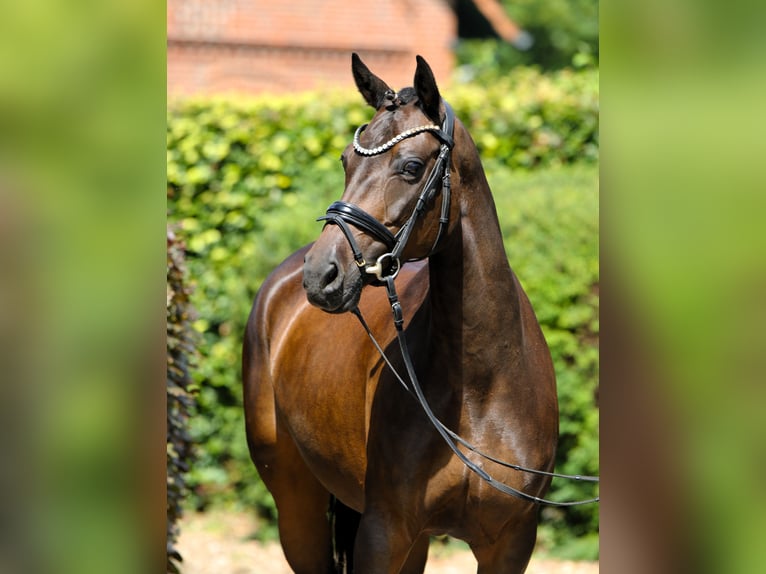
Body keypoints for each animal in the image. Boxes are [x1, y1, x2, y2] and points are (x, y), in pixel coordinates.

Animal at [243, 53, 560, 572]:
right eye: (345, 160)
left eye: (411, 166)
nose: (321, 275)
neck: (480, 389)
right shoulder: (384, 532)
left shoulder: (511, 542)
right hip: (296, 507)